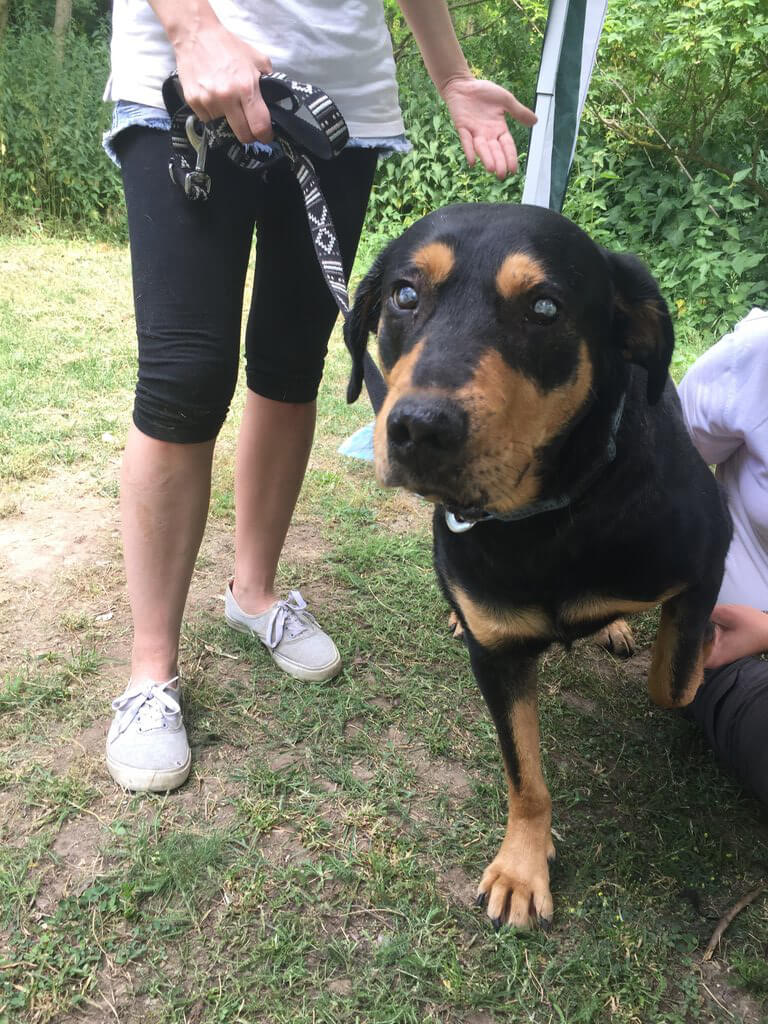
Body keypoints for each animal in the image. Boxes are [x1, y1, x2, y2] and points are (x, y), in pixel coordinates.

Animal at [344, 203, 732, 930]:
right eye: (405, 295)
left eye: (545, 308)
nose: (420, 428)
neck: (549, 515)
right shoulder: (496, 659)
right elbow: (523, 775)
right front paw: (523, 867)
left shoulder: (707, 557)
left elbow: (673, 680)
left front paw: (708, 651)